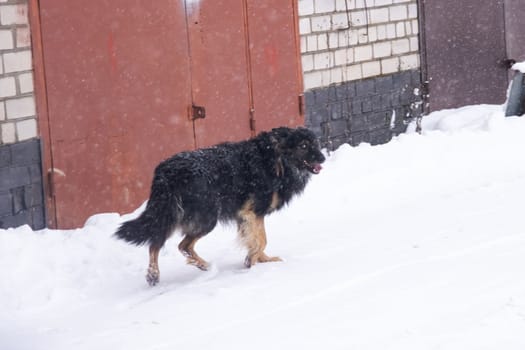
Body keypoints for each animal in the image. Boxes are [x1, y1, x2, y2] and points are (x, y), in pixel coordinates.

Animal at [114, 127, 324, 286]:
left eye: (315, 143)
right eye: (304, 146)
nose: (322, 158)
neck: (277, 157)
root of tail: (166, 172)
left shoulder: (246, 217)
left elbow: (255, 240)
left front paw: (261, 259)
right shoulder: (253, 212)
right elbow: (261, 240)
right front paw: (251, 261)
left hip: (169, 213)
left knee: (156, 242)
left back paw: (154, 274)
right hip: (206, 218)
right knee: (183, 245)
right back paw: (204, 266)